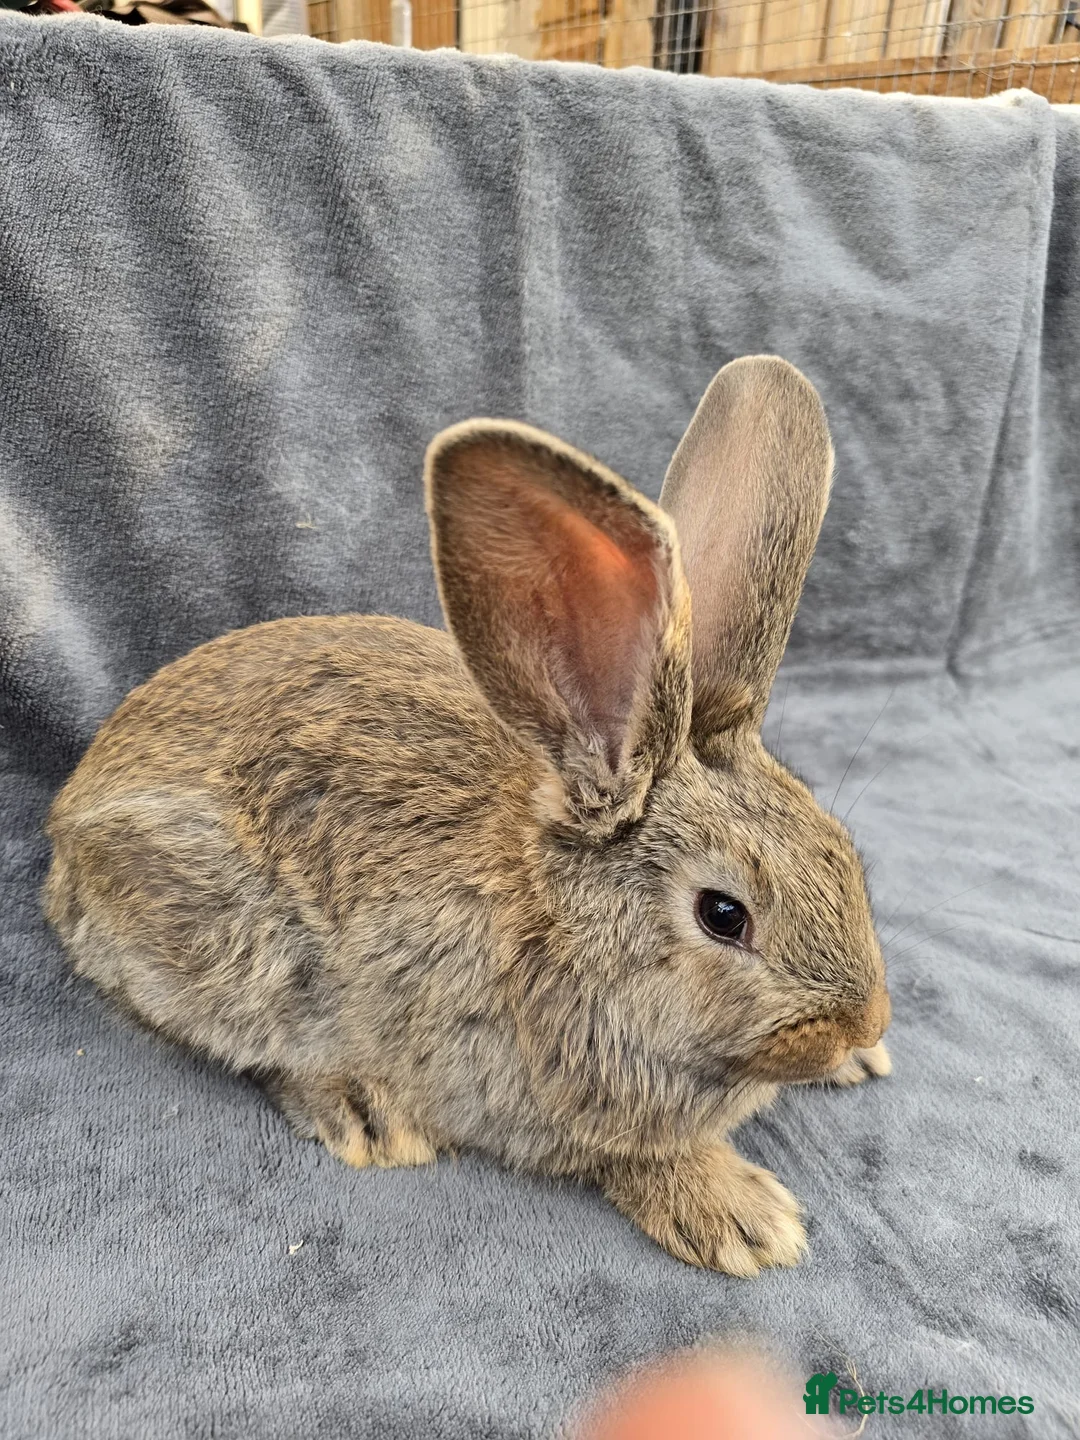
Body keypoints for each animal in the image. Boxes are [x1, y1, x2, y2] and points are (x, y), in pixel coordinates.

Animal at [43, 355, 891, 1277]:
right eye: (724, 915)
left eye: (844, 854)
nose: (865, 1021)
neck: (564, 929)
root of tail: (65, 830)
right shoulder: (538, 1098)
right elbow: (626, 1155)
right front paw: (741, 1214)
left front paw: (862, 1063)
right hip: (232, 945)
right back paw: (365, 1112)